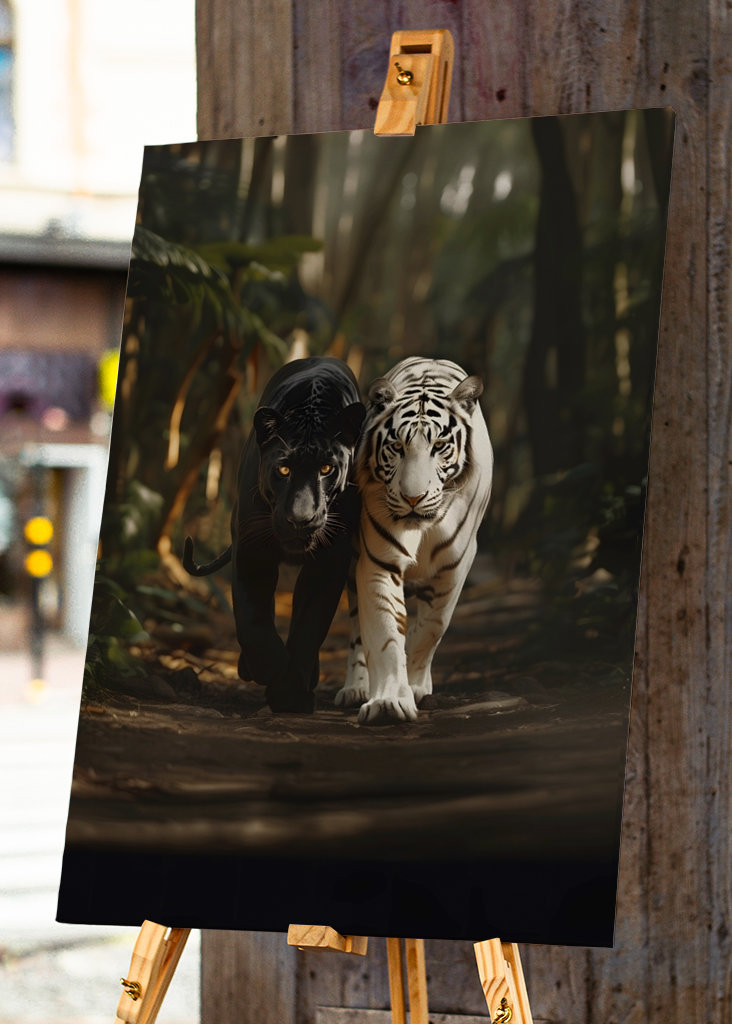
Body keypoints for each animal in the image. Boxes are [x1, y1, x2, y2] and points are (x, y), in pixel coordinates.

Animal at [335, 356, 493, 725]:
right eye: (397, 447)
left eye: (439, 446)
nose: (413, 498)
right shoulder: (377, 562)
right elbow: (385, 634)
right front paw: (389, 700)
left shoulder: (456, 566)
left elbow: (432, 628)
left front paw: (416, 684)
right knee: (357, 633)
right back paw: (356, 688)